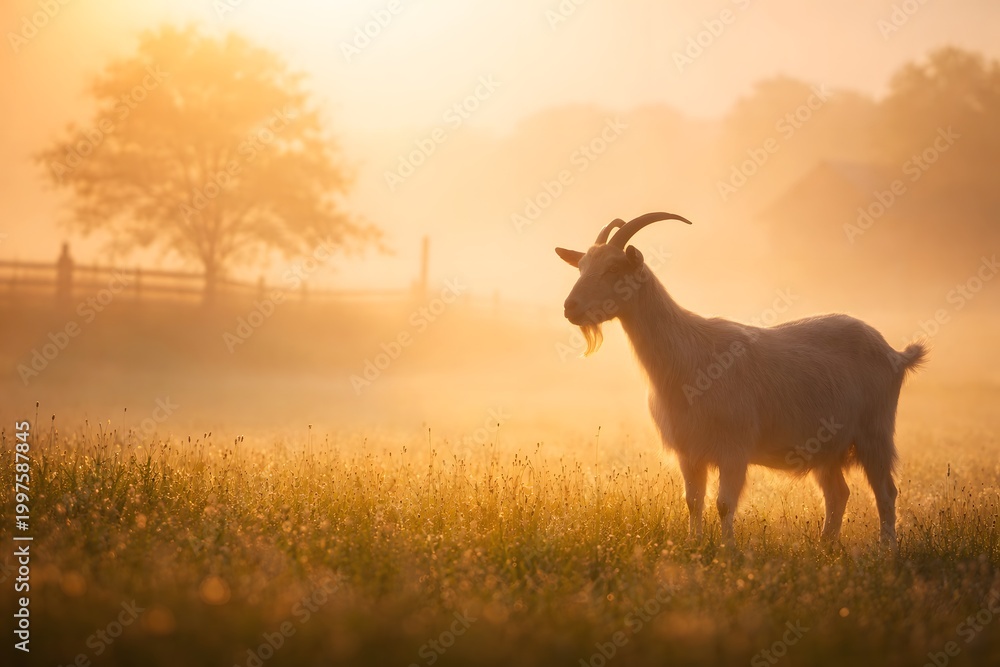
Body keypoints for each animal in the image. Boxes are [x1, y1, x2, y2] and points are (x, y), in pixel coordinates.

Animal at [555, 212, 926, 546]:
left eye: (613, 269)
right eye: (582, 267)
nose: (570, 307)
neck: (689, 358)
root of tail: (895, 354)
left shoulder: (734, 448)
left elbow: (723, 504)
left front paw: (728, 551)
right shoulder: (690, 451)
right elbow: (693, 503)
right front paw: (694, 546)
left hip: (874, 432)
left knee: (886, 492)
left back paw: (886, 550)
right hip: (827, 446)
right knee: (838, 493)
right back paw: (825, 548)